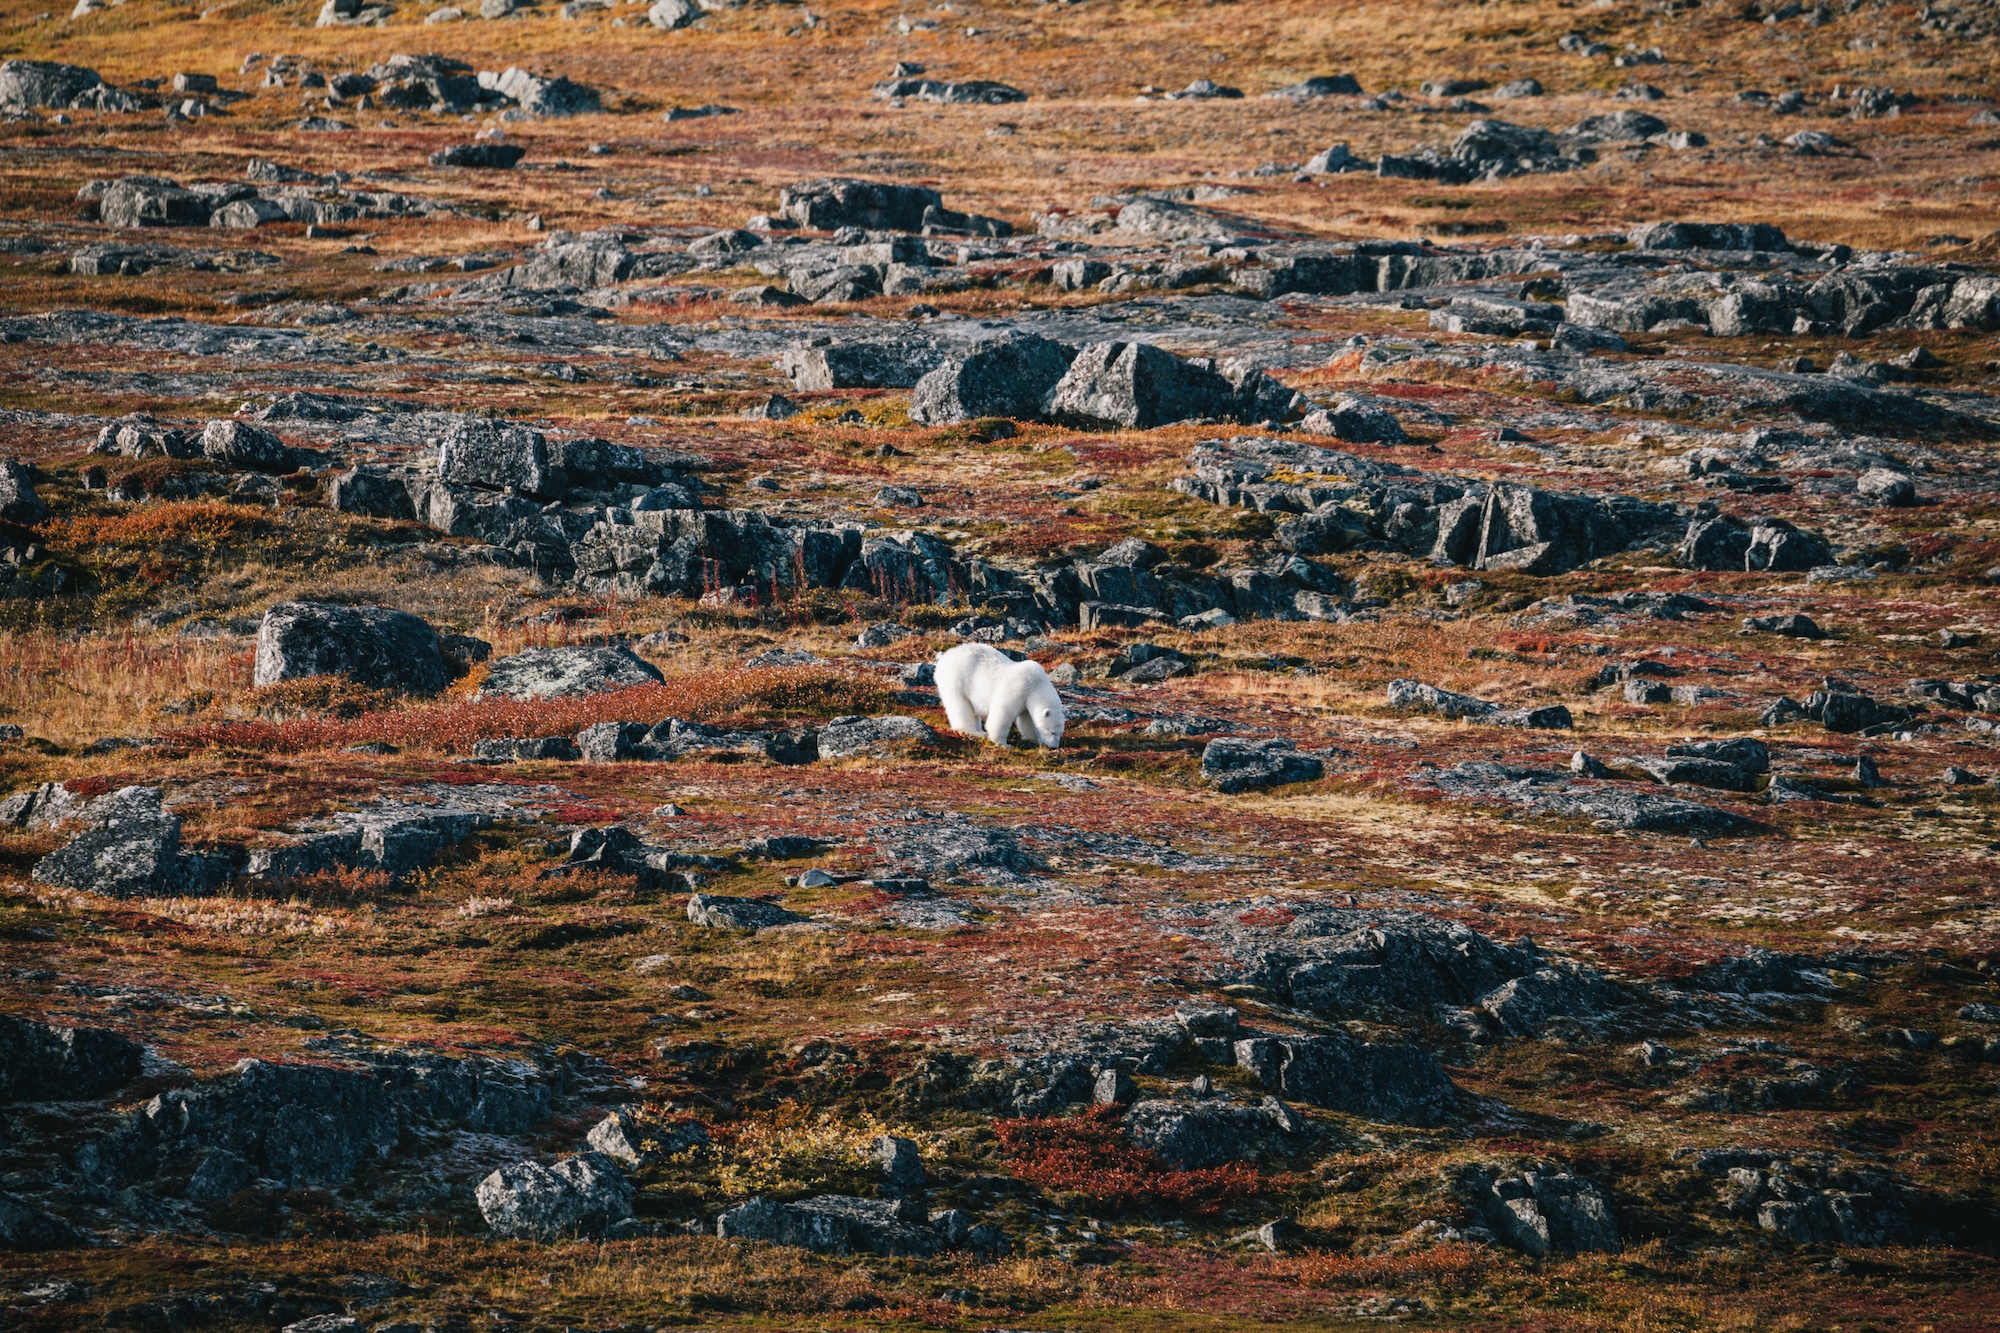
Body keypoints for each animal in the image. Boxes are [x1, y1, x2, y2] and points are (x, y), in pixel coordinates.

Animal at [932, 640, 1064, 748]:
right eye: (1052, 732)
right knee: (960, 706)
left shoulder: (1027, 699)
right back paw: (973, 731)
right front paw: (1003, 743)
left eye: (1060, 732)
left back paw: (981, 730)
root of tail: (944, 658)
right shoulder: (1018, 687)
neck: (1036, 684)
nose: (1055, 746)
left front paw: (1035, 739)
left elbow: (1027, 720)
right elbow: (1002, 712)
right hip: (957, 679)